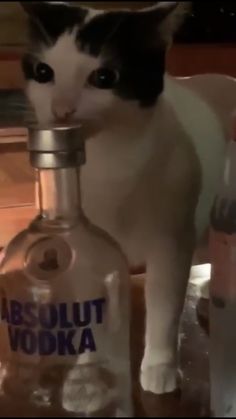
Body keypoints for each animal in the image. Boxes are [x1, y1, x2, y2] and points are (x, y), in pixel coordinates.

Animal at [20, 0, 236, 396]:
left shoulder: (171, 243)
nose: (61, 110)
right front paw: (87, 376)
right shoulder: (84, 251)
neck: (108, 165)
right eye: (44, 72)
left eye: (104, 78)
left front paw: (160, 367)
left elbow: (164, 308)